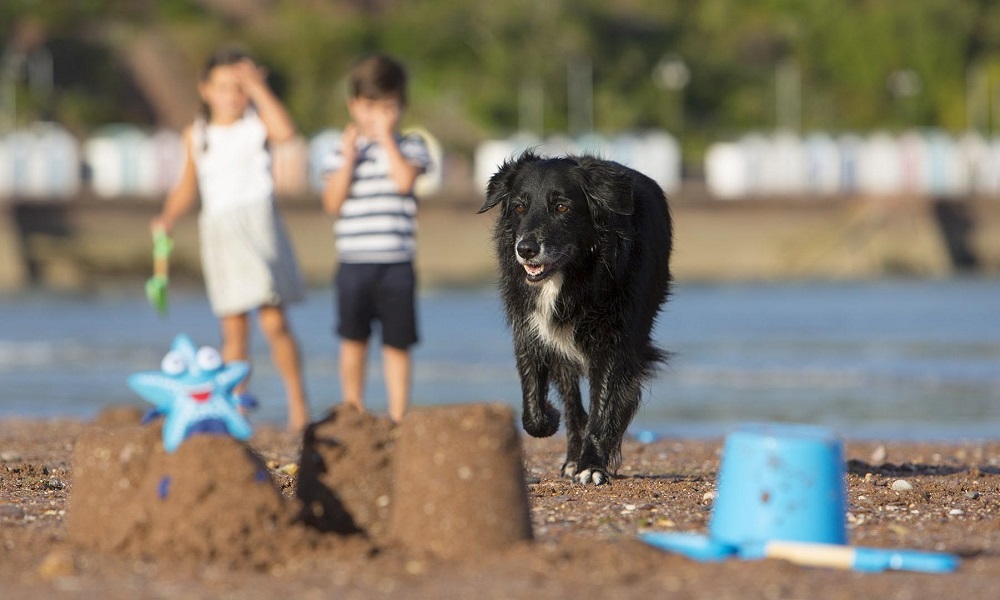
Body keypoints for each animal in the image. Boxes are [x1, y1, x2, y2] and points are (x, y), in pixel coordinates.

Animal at [478, 152, 672, 486]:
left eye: (561, 207)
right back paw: (570, 455)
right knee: (572, 404)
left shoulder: (613, 342)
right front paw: (550, 419)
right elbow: (533, 411)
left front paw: (592, 464)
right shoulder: (530, 330)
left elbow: (603, 406)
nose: (525, 249)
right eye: (519, 206)